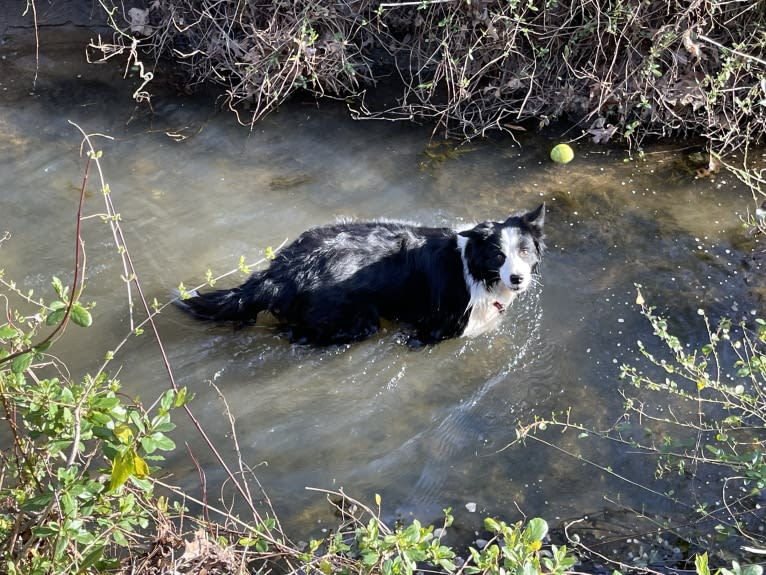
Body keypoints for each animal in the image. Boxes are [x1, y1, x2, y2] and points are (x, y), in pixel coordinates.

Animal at [174, 206, 544, 346]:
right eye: (498, 255)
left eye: (525, 252)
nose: (517, 279)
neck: (475, 270)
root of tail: (285, 269)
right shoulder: (439, 328)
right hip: (357, 320)